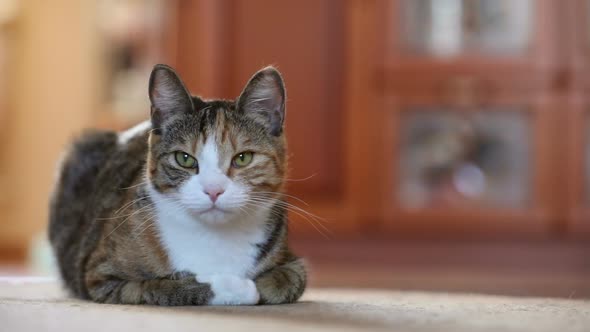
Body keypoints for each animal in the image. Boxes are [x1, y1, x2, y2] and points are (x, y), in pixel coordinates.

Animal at [48, 63, 308, 304]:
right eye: (184, 159)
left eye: (243, 158)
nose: (213, 191)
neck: (213, 236)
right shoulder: (98, 276)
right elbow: (154, 287)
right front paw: (228, 288)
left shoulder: (294, 264)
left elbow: (287, 281)